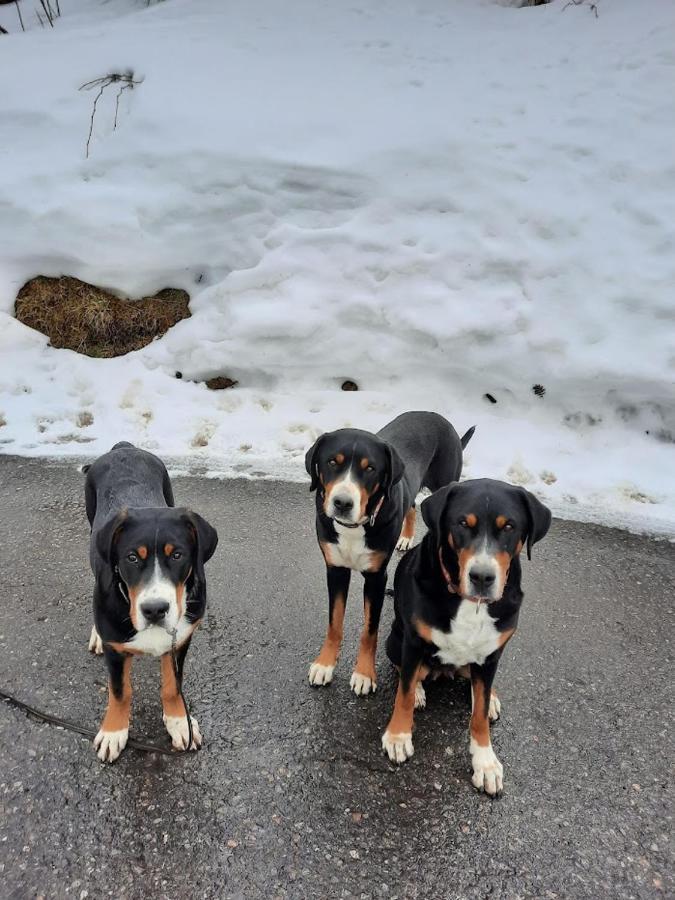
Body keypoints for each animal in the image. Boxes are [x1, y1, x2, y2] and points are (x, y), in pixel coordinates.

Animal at [83, 440, 218, 764]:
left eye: (178, 555)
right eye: (132, 557)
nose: (155, 610)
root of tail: (123, 447)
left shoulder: (181, 640)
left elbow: (172, 686)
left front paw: (180, 722)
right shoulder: (116, 650)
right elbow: (120, 691)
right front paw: (114, 732)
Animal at [306, 414, 476, 696]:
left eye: (370, 469)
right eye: (332, 462)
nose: (342, 503)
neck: (354, 528)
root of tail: (437, 416)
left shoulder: (377, 578)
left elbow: (370, 630)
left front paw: (364, 674)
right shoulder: (335, 569)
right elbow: (334, 622)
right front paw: (325, 664)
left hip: (445, 483)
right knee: (412, 504)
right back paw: (406, 537)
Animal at [382, 478, 552, 796]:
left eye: (509, 526)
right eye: (462, 523)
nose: (482, 577)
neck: (471, 604)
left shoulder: (492, 654)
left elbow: (480, 716)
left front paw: (485, 763)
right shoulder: (413, 642)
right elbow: (404, 693)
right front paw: (398, 736)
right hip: (393, 641)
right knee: (408, 674)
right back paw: (421, 690)